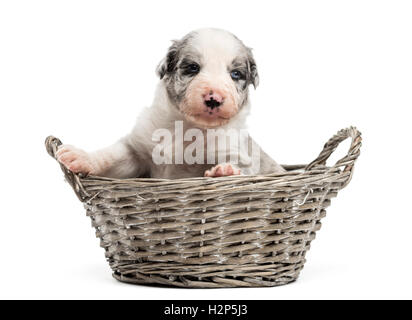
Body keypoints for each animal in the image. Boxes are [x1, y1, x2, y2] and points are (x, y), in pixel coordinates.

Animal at [57, 29, 284, 180]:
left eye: (235, 74)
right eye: (192, 68)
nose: (214, 98)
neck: (185, 126)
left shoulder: (235, 150)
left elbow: (240, 167)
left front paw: (224, 171)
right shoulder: (137, 150)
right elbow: (113, 156)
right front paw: (80, 157)